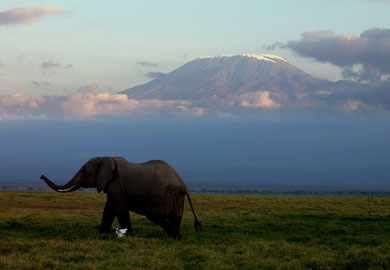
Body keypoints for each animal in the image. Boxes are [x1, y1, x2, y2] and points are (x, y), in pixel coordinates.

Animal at [40, 155, 201, 239]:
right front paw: (102, 235)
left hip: (162, 194)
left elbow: (119, 209)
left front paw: (128, 236)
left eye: (84, 172)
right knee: (176, 216)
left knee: (154, 215)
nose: (41, 176)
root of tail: (182, 185)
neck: (107, 158)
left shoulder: (116, 185)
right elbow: (109, 209)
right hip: (177, 197)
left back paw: (176, 236)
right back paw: (174, 238)